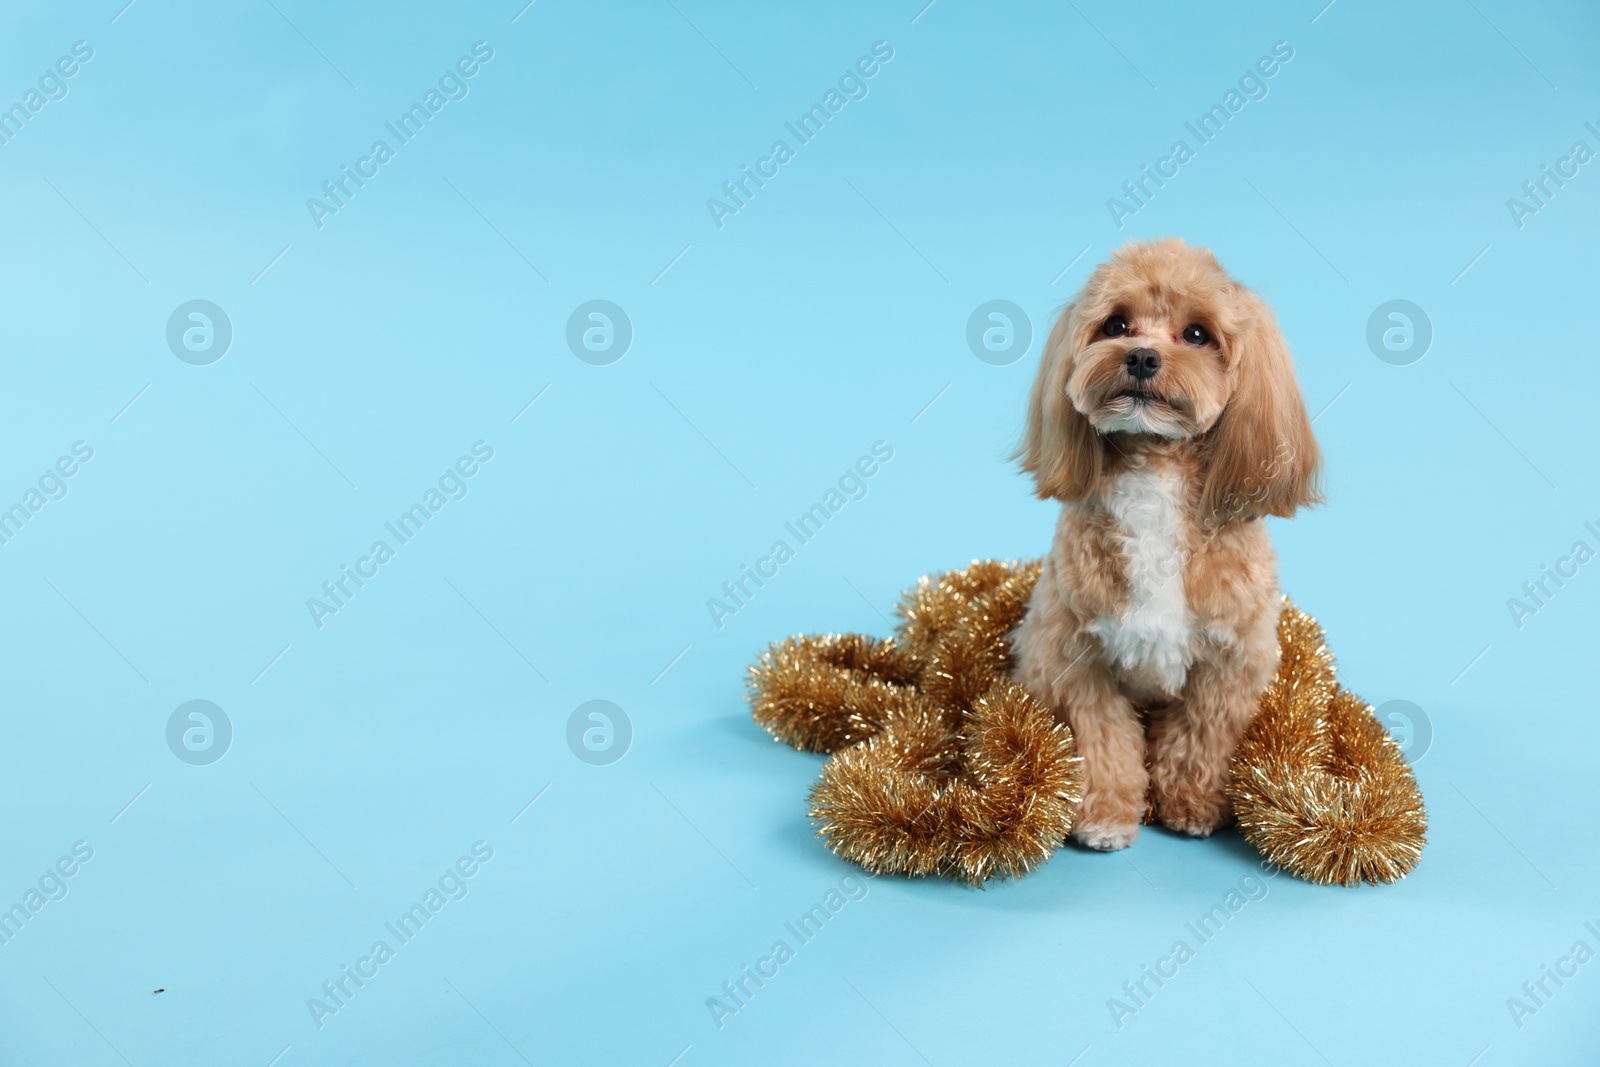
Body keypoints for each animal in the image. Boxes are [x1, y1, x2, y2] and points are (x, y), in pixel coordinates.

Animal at [1011, 239, 1324, 851]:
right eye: (1115, 324)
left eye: (1198, 334)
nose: (1140, 357)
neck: (1155, 472)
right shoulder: (1075, 659)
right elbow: (1104, 742)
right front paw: (1107, 815)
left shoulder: (1230, 661)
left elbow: (1201, 737)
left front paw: (1194, 804)